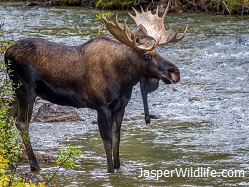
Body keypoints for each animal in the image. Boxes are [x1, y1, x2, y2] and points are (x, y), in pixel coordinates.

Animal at [4, 4, 187, 174]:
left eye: (158, 51)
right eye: (148, 55)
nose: (175, 72)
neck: (125, 79)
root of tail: (6, 53)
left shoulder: (120, 107)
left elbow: (117, 139)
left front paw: (118, 167)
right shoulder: (102, 106)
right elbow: (107, 141)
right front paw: (110, 170)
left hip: (18, 90)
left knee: (7, 115)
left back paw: (9, 162)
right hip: (27, 89)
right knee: (21, 123)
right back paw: (34, 166)